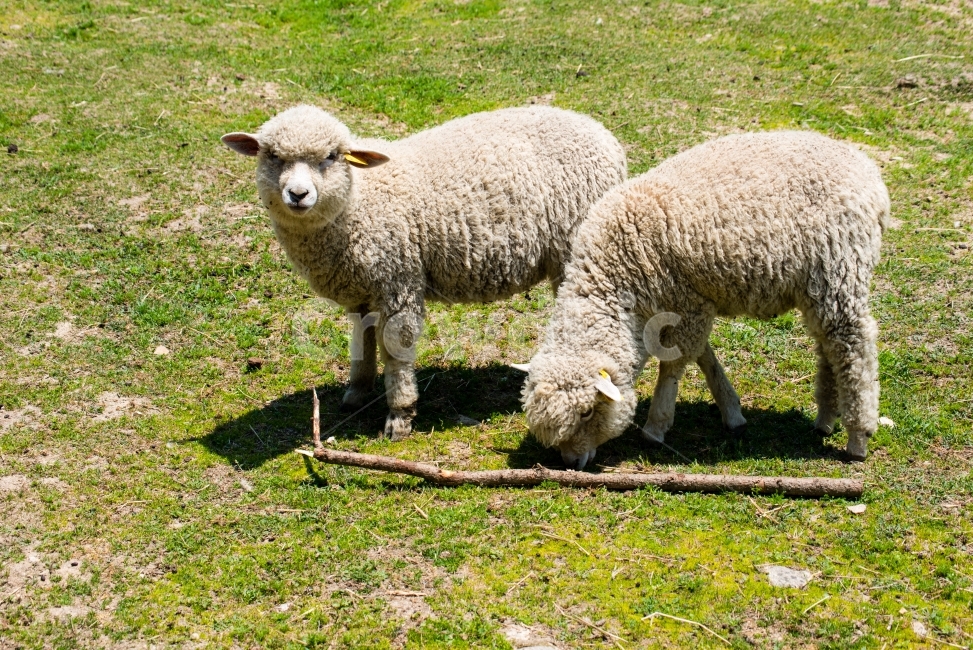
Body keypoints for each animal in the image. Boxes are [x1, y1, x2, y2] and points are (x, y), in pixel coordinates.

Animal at [222, 104, 627, 440]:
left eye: (331, 157)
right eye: (273, 156)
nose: (298, 194)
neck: (358, 205)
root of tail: (602, 134)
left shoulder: (398, 281)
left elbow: (396, 352)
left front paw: (399, 417)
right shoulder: (362, 289)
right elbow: (361, 341)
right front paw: (357, 391)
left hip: (578, 247)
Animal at [516, 130, 889, 469]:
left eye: (587, 412)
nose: (571, 462)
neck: (616, 276)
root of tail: (869, 175)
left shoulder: (687, 304)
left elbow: (675, 364)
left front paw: (656, 426)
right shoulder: (688, 307)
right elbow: (704, 356)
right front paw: (732, 412)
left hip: (839, 269)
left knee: (853, 347)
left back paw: (858, 436)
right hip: (816, 287)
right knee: (829, 346)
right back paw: (826, 419)